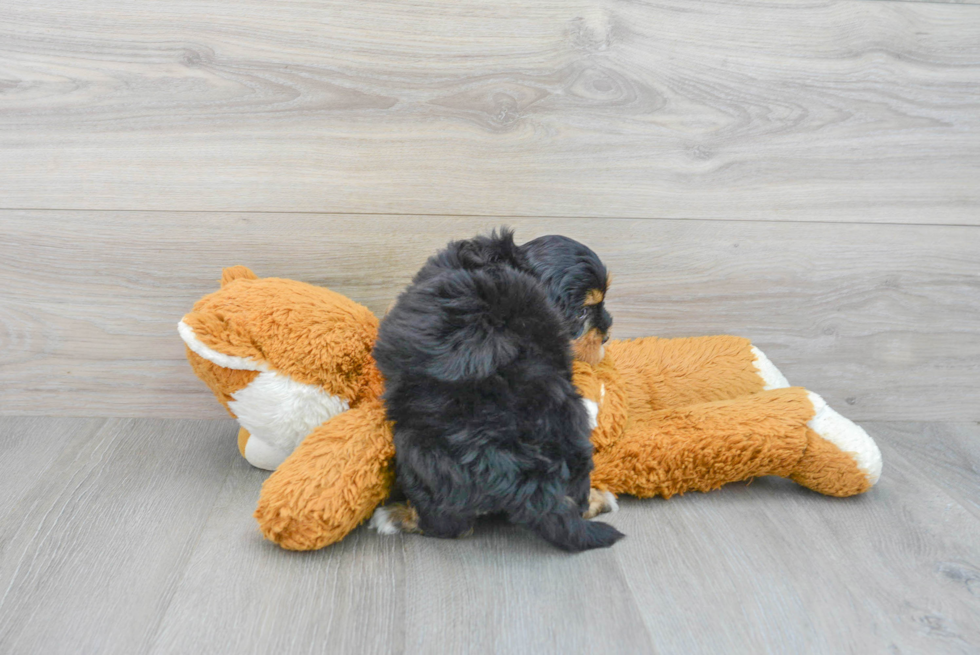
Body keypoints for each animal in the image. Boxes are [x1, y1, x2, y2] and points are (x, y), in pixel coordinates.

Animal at [368, 228, 620, 552]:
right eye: (582, 313)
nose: (607, 334)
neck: (508, 262)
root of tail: (534, 477)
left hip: (416, 447)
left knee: (449, 525)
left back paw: (395, 516)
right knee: (576, 500)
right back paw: (599, 498)